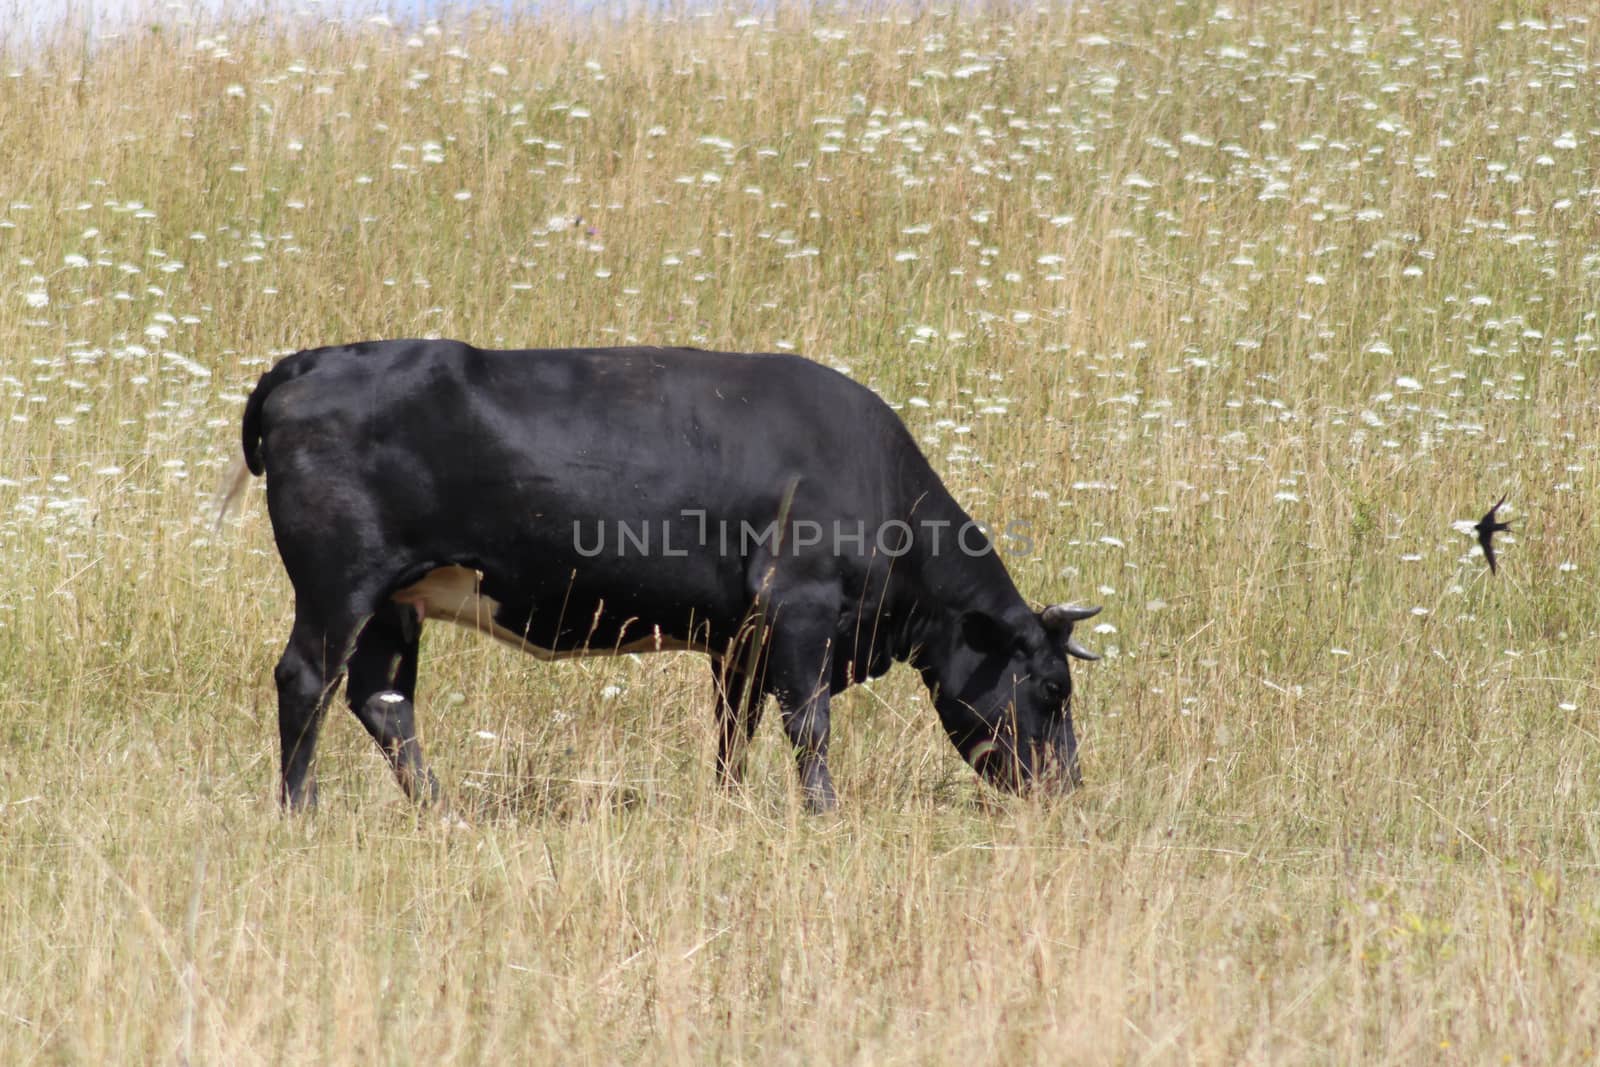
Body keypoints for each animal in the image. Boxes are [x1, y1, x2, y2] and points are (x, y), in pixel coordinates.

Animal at [225, 340, 1100, 809]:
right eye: (1051, 687)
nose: (1067, 789)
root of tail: (313, 360)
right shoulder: (801, 610)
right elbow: (808, 724)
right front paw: (823, 810)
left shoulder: (741, 639)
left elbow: (735, 727)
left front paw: (731, 802)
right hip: (339, 587)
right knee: (308, 681)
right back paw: (300, 808)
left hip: (391, 600)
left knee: (383, 698)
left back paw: (445, 813)